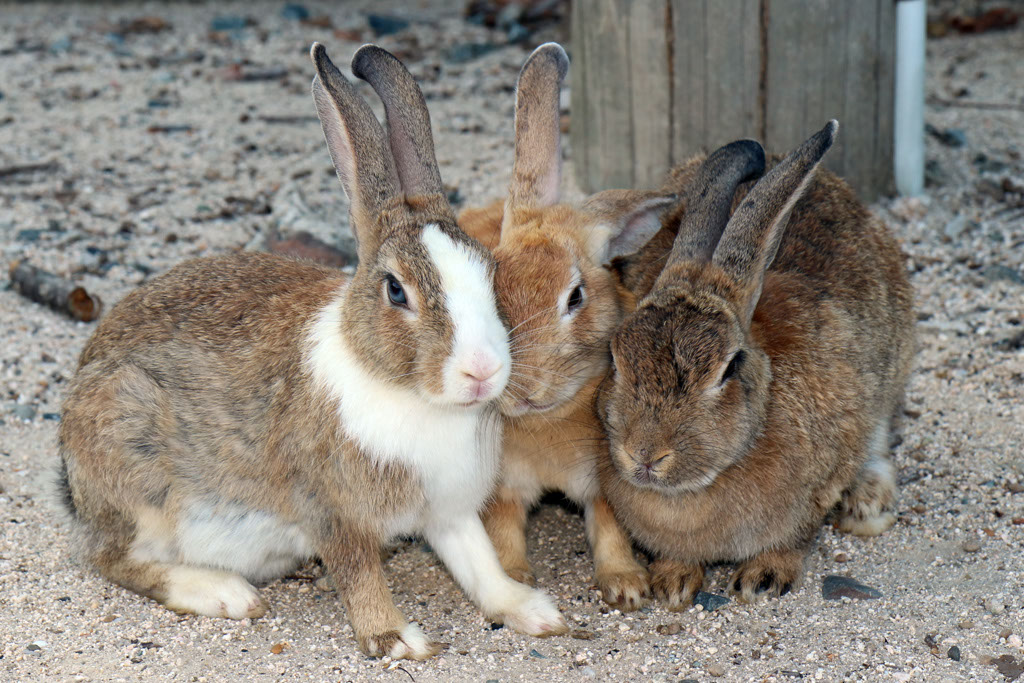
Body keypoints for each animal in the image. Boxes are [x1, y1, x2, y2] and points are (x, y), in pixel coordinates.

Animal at [55, 42, 568, 661]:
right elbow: (360, 576)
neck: (407, 392)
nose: (482, 371)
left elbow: (479, 563)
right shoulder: (333, 513)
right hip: (134, 463)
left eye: (491, 273)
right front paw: (397, 640)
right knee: (112, 559)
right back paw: (225, 593)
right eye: (396, 291)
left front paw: (534, 612)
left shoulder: (448, 509)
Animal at [459, 44, 730, 611]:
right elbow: (504, 528)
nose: (522, 389)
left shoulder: (606, 475)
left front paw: (627, 586)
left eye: (575, 297)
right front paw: (516, 578)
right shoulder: (502, 485)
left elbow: (608, 526)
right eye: (489, 286)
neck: (547, 420)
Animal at [596, 121, 915, 609]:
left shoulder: (826, 474)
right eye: (615, 357)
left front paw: (763, 576)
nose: (645, 455)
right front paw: (672, 581)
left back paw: (866, 503)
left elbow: (797, 536)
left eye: (728, 368)